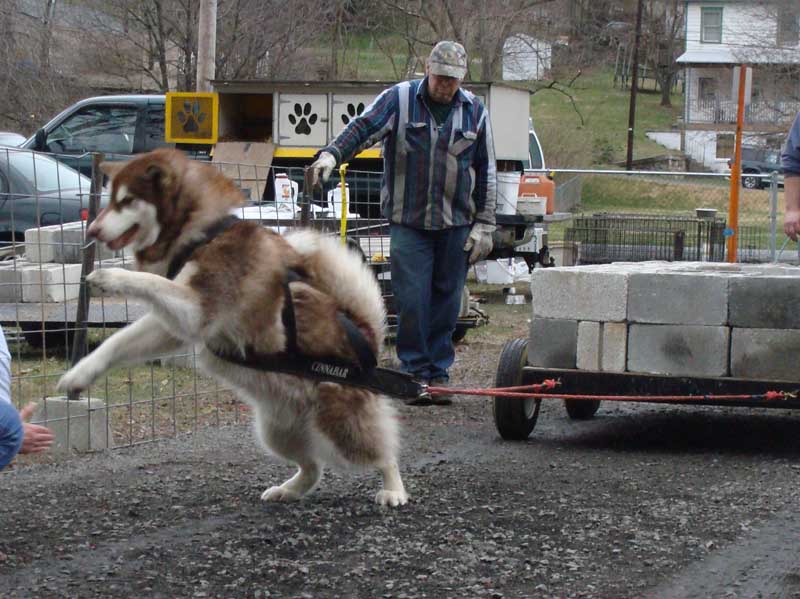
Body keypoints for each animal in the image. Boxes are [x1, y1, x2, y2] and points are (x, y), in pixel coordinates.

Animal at [57, 149, 406, 506]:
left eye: (127, 201)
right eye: (110, 199)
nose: (92, 231)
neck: (201, 233)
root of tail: (368, 339)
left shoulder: (198, 309)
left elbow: (147, 281)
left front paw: (110, 277)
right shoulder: (178, 324)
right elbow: (117, 342)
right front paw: (79, 374)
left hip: (342, 428)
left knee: (384, 453)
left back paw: (393, 488)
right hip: (275, 431)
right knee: (312, 467)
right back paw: (289, 489)